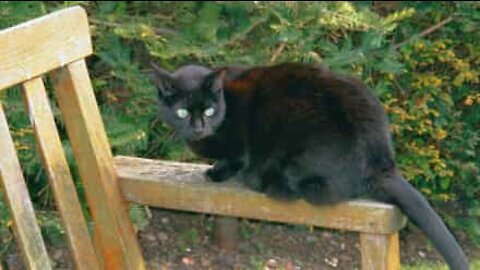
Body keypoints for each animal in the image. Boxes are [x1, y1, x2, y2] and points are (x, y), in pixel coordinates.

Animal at [150, 61, 468, 270]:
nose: (198, 128)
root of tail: (383, 162)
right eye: (182, 112)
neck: (226, 103)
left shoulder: (242, 143)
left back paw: (260, 180)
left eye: (208, 110)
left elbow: (236, 158)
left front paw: (218, 171)